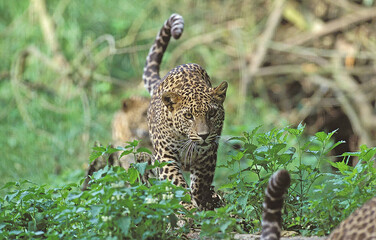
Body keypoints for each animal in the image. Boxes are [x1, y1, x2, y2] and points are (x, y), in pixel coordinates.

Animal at [143, 13, 226, 209]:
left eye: (212, 113)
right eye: (188, 116)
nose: (204, 135)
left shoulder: (209, 154)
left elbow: (201, 182)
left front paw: (202, 201)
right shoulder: (165, 155)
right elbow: (175, 183)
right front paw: (187, 205)